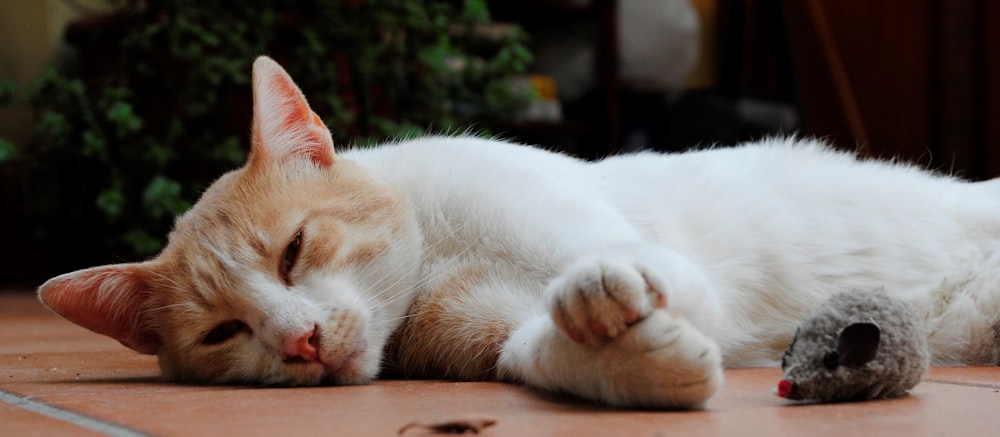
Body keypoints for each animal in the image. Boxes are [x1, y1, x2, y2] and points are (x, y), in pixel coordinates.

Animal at [37, 55, 1000, 408]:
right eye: (224, 332)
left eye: (294, 249)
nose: (300, 340)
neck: (434, 259)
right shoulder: (493, 334)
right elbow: (541, 351)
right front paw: (641, 362)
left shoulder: (641, 250)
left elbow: (635, 269)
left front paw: (608, 294)